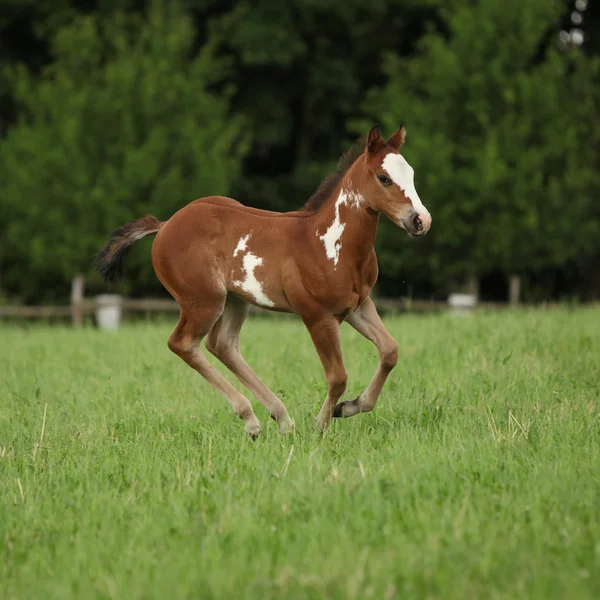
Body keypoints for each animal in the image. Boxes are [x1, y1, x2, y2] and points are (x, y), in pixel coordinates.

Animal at [96, 125, 432, 436]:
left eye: (412, 173)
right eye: (384, 177)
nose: (421, 221)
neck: (326, 243)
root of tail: (165, 225)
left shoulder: (358, 306)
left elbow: (390, 351)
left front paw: (350, 407)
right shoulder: (317, 316)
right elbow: (338, 377)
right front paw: (320, 425)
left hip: (235, 300)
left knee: (222, 345)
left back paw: (280, 418)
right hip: (203, 301)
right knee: (183, 344)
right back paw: (252, 418)